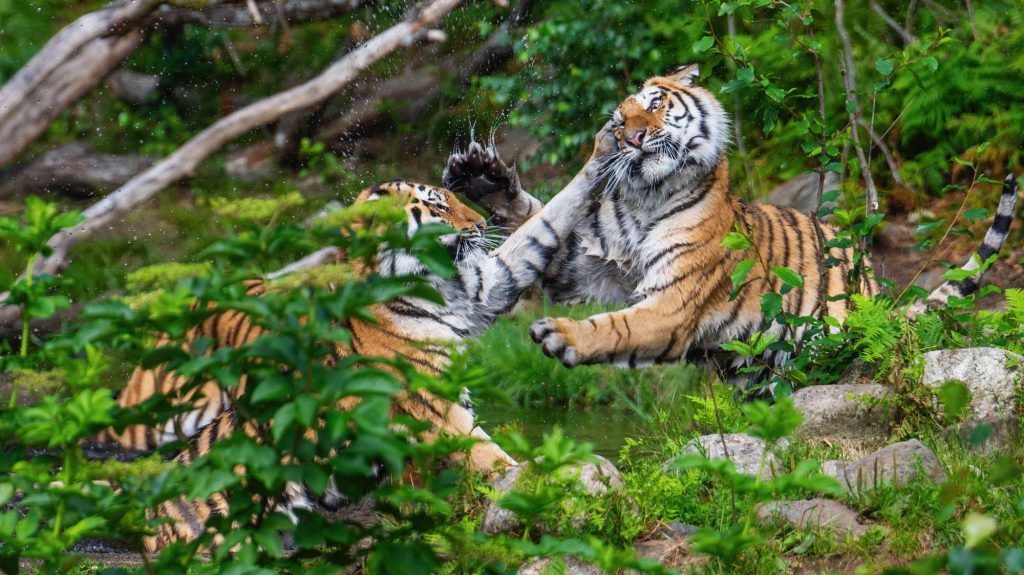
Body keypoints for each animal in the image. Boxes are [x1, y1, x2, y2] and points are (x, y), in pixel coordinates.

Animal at [100, 142, 613, 552]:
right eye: (437, 205)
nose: (483, 221)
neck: (437, 288)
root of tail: (150, 519)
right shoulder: (437, 411)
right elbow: (497, 462)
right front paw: (549, 488)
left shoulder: (486, 286)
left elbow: (542, 229)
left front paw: (605, 147)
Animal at [445, 64, 1019, 380]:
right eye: (617, 119)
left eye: (655, 103)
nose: (629, 136)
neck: (646, 196)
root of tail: (875, 292)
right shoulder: (588, 271)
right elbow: (542, 227)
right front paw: (484, 180)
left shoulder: (672, 301)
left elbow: (618, 325)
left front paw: (563, 335)